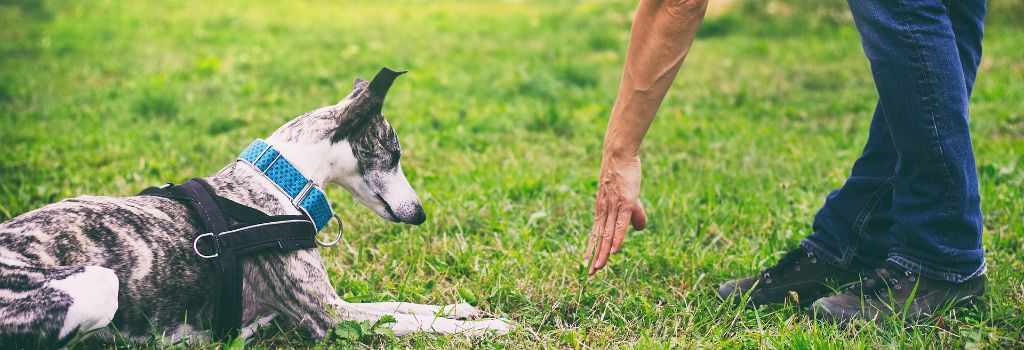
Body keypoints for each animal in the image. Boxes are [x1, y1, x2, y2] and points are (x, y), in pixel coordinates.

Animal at [0, 68, 512, 347]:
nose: (420, 213)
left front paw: (461, 309)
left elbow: (403, 306)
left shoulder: (337, 304)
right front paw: (490, 329)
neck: (280, 182)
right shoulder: (329, 317)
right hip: (97, 284)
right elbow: (410, 323)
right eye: (395, 154)